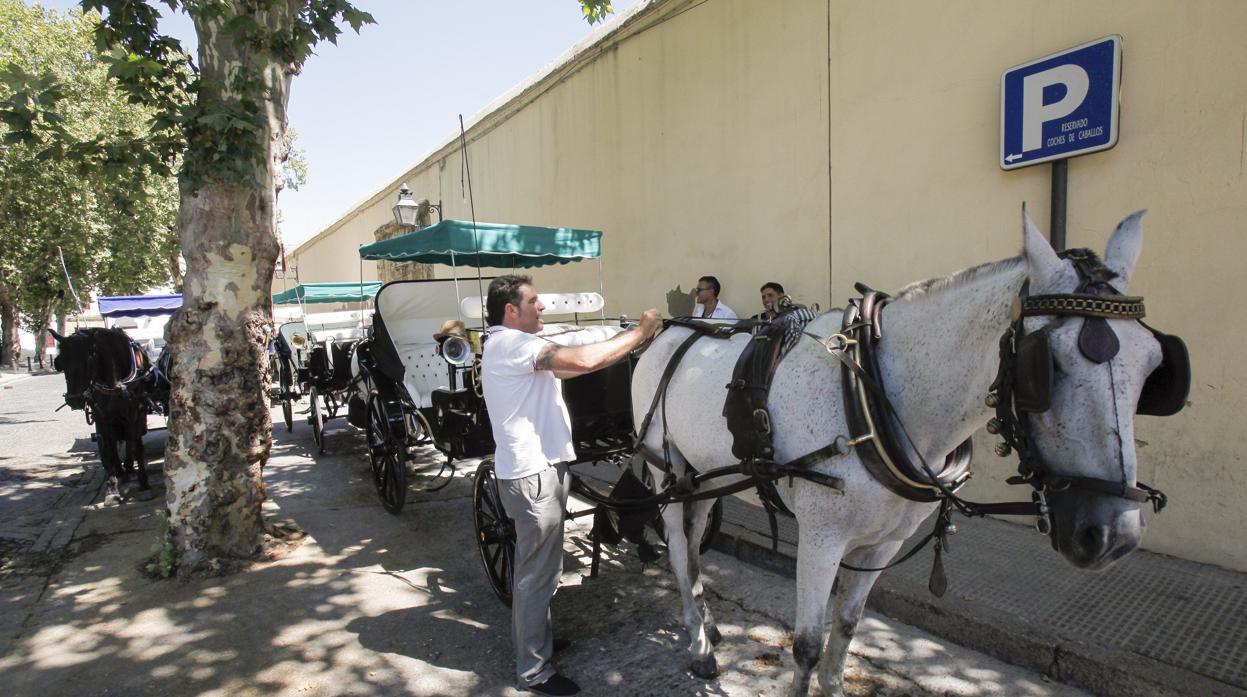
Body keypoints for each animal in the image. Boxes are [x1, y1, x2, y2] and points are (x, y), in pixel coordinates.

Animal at [51, 329, 154, 498]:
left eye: (88, 360)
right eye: (60, 362)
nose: (74, 400)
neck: (115, 382)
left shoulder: (134, 410)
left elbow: (135, 443)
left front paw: (144, 483)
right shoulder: (101, 415)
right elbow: (109, 448)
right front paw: (112, 487)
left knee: (129, 438)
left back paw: (128, 467)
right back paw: (121, 470)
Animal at [638, 209, 1172, 693]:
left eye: (1155, 365)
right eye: (1044, 367)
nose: (1114, 535)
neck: (872, 399)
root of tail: (667, 332)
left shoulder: (884, 542)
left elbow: (846, 628)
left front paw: (835, 683)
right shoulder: (820, 538)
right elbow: (807, 645)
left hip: (708, 476)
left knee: (695, 539)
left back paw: (707, 625)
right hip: (667, 469)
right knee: (680, 547)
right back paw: (698, 644)